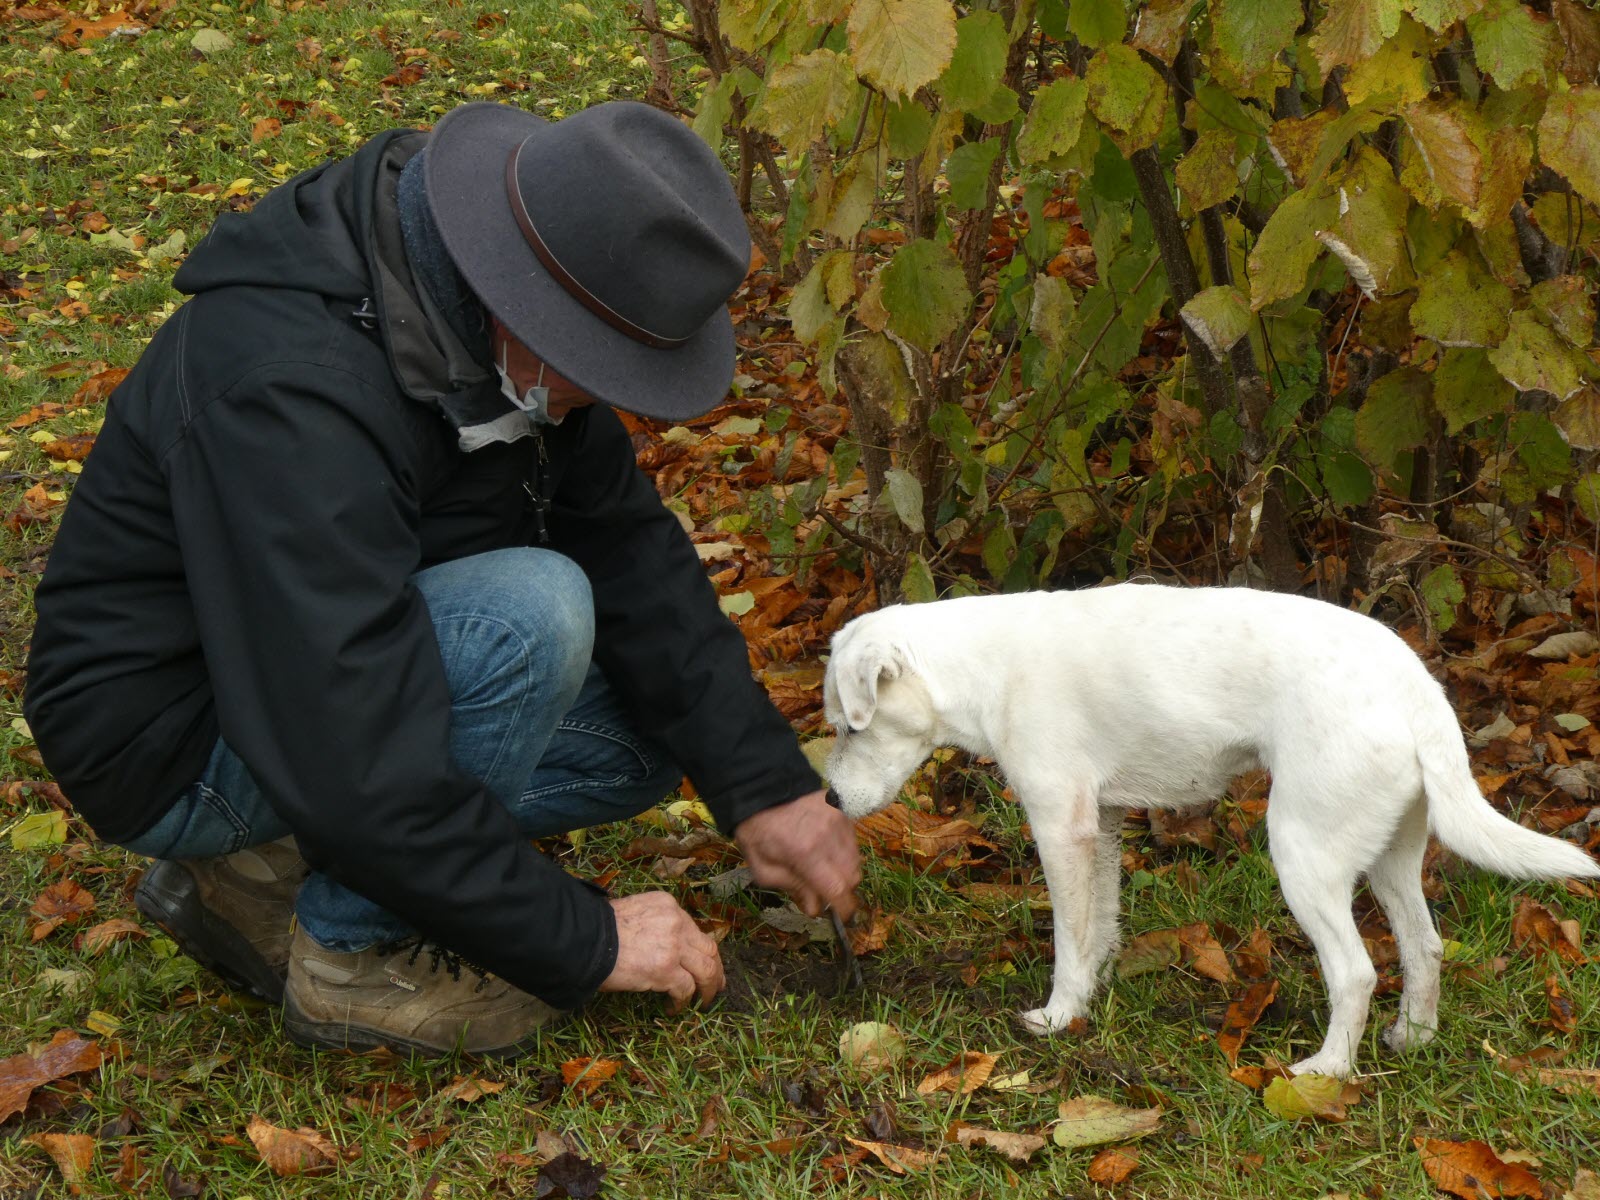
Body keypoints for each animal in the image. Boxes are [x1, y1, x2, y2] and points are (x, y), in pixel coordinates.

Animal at [825, 585, 1600, 1081]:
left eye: (849, 726)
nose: (828, 797)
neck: (984, 663)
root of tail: (1418, 691)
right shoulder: (1102, 824)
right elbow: (1099, 925)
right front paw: (1096, 993)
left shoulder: (1061, 826)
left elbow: (1068, 942)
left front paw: (1061, 1015)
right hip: (1389, 857)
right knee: (1424, 947)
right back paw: (1412, 1037)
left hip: (1302, 855)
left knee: (1356, 971)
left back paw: (1328, 1070)